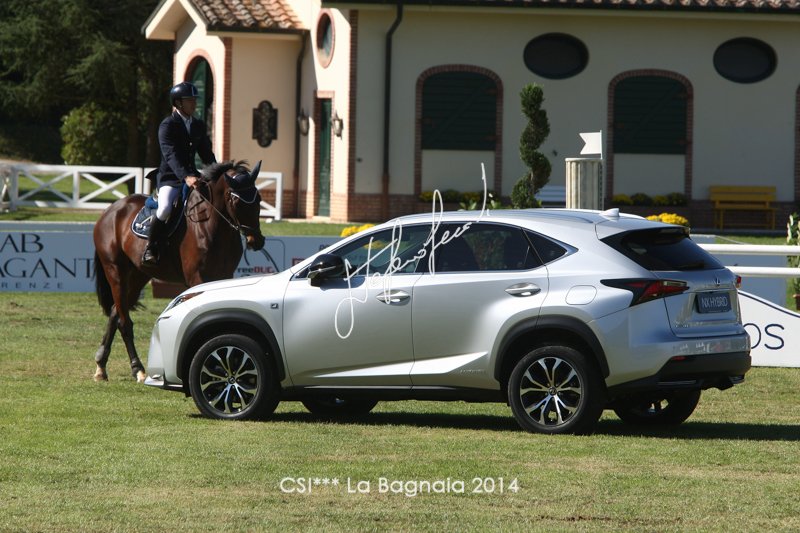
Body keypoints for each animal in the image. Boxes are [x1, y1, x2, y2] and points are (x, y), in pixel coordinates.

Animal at [92, 160, 266, 382]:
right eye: (235, 200)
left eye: (258, 198)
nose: (256, 241)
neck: (211, 224)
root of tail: (111, 210)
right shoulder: (197, 278)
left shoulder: (224, 277)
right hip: (116, 271)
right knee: (124, 321)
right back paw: (137, 369)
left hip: (139, 275)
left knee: (115, 312)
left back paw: (101, 366)